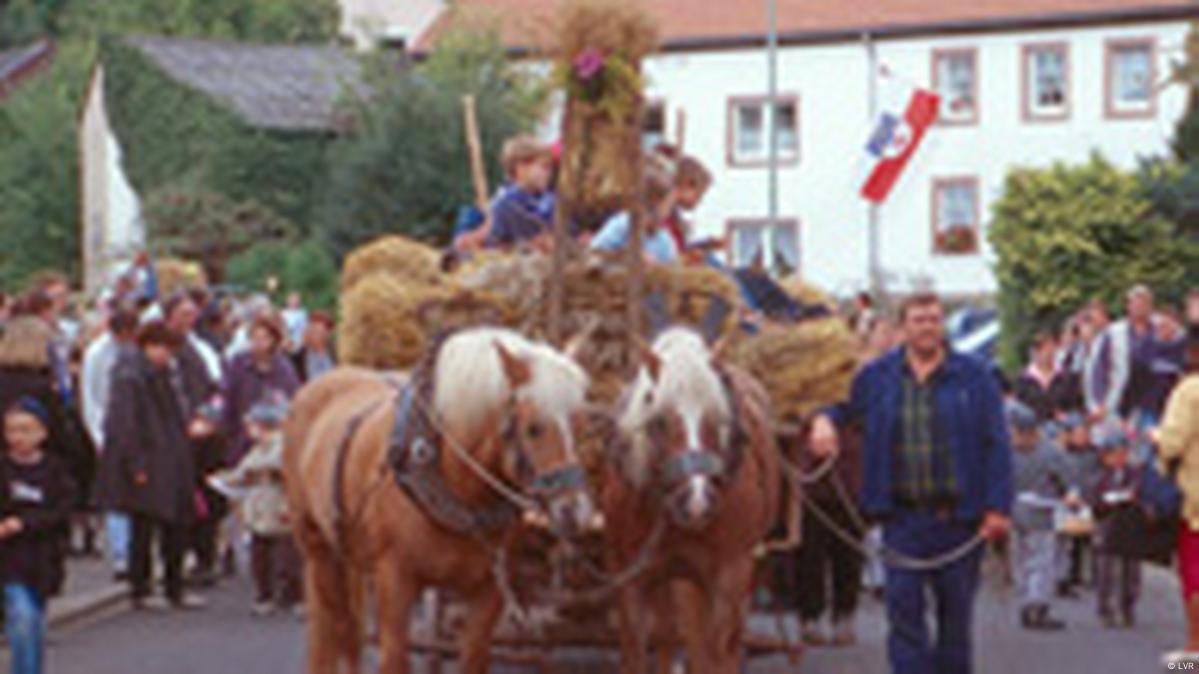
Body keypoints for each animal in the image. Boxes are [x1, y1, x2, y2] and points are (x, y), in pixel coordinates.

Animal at [280, 326, 599, 671]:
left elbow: (473, 657)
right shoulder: (394, 581)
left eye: (581, 424)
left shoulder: (489, 590)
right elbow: (394, 658)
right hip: (318, 548)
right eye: (533, 428)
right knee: (340, 626)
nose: (575, 510)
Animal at [604, 323, 781, 666]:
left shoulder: (727, 579)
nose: (697, 502)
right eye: (659, 420)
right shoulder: (629, 579)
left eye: (718, 418)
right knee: (668, 636)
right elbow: (641, 649)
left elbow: (714, 653)